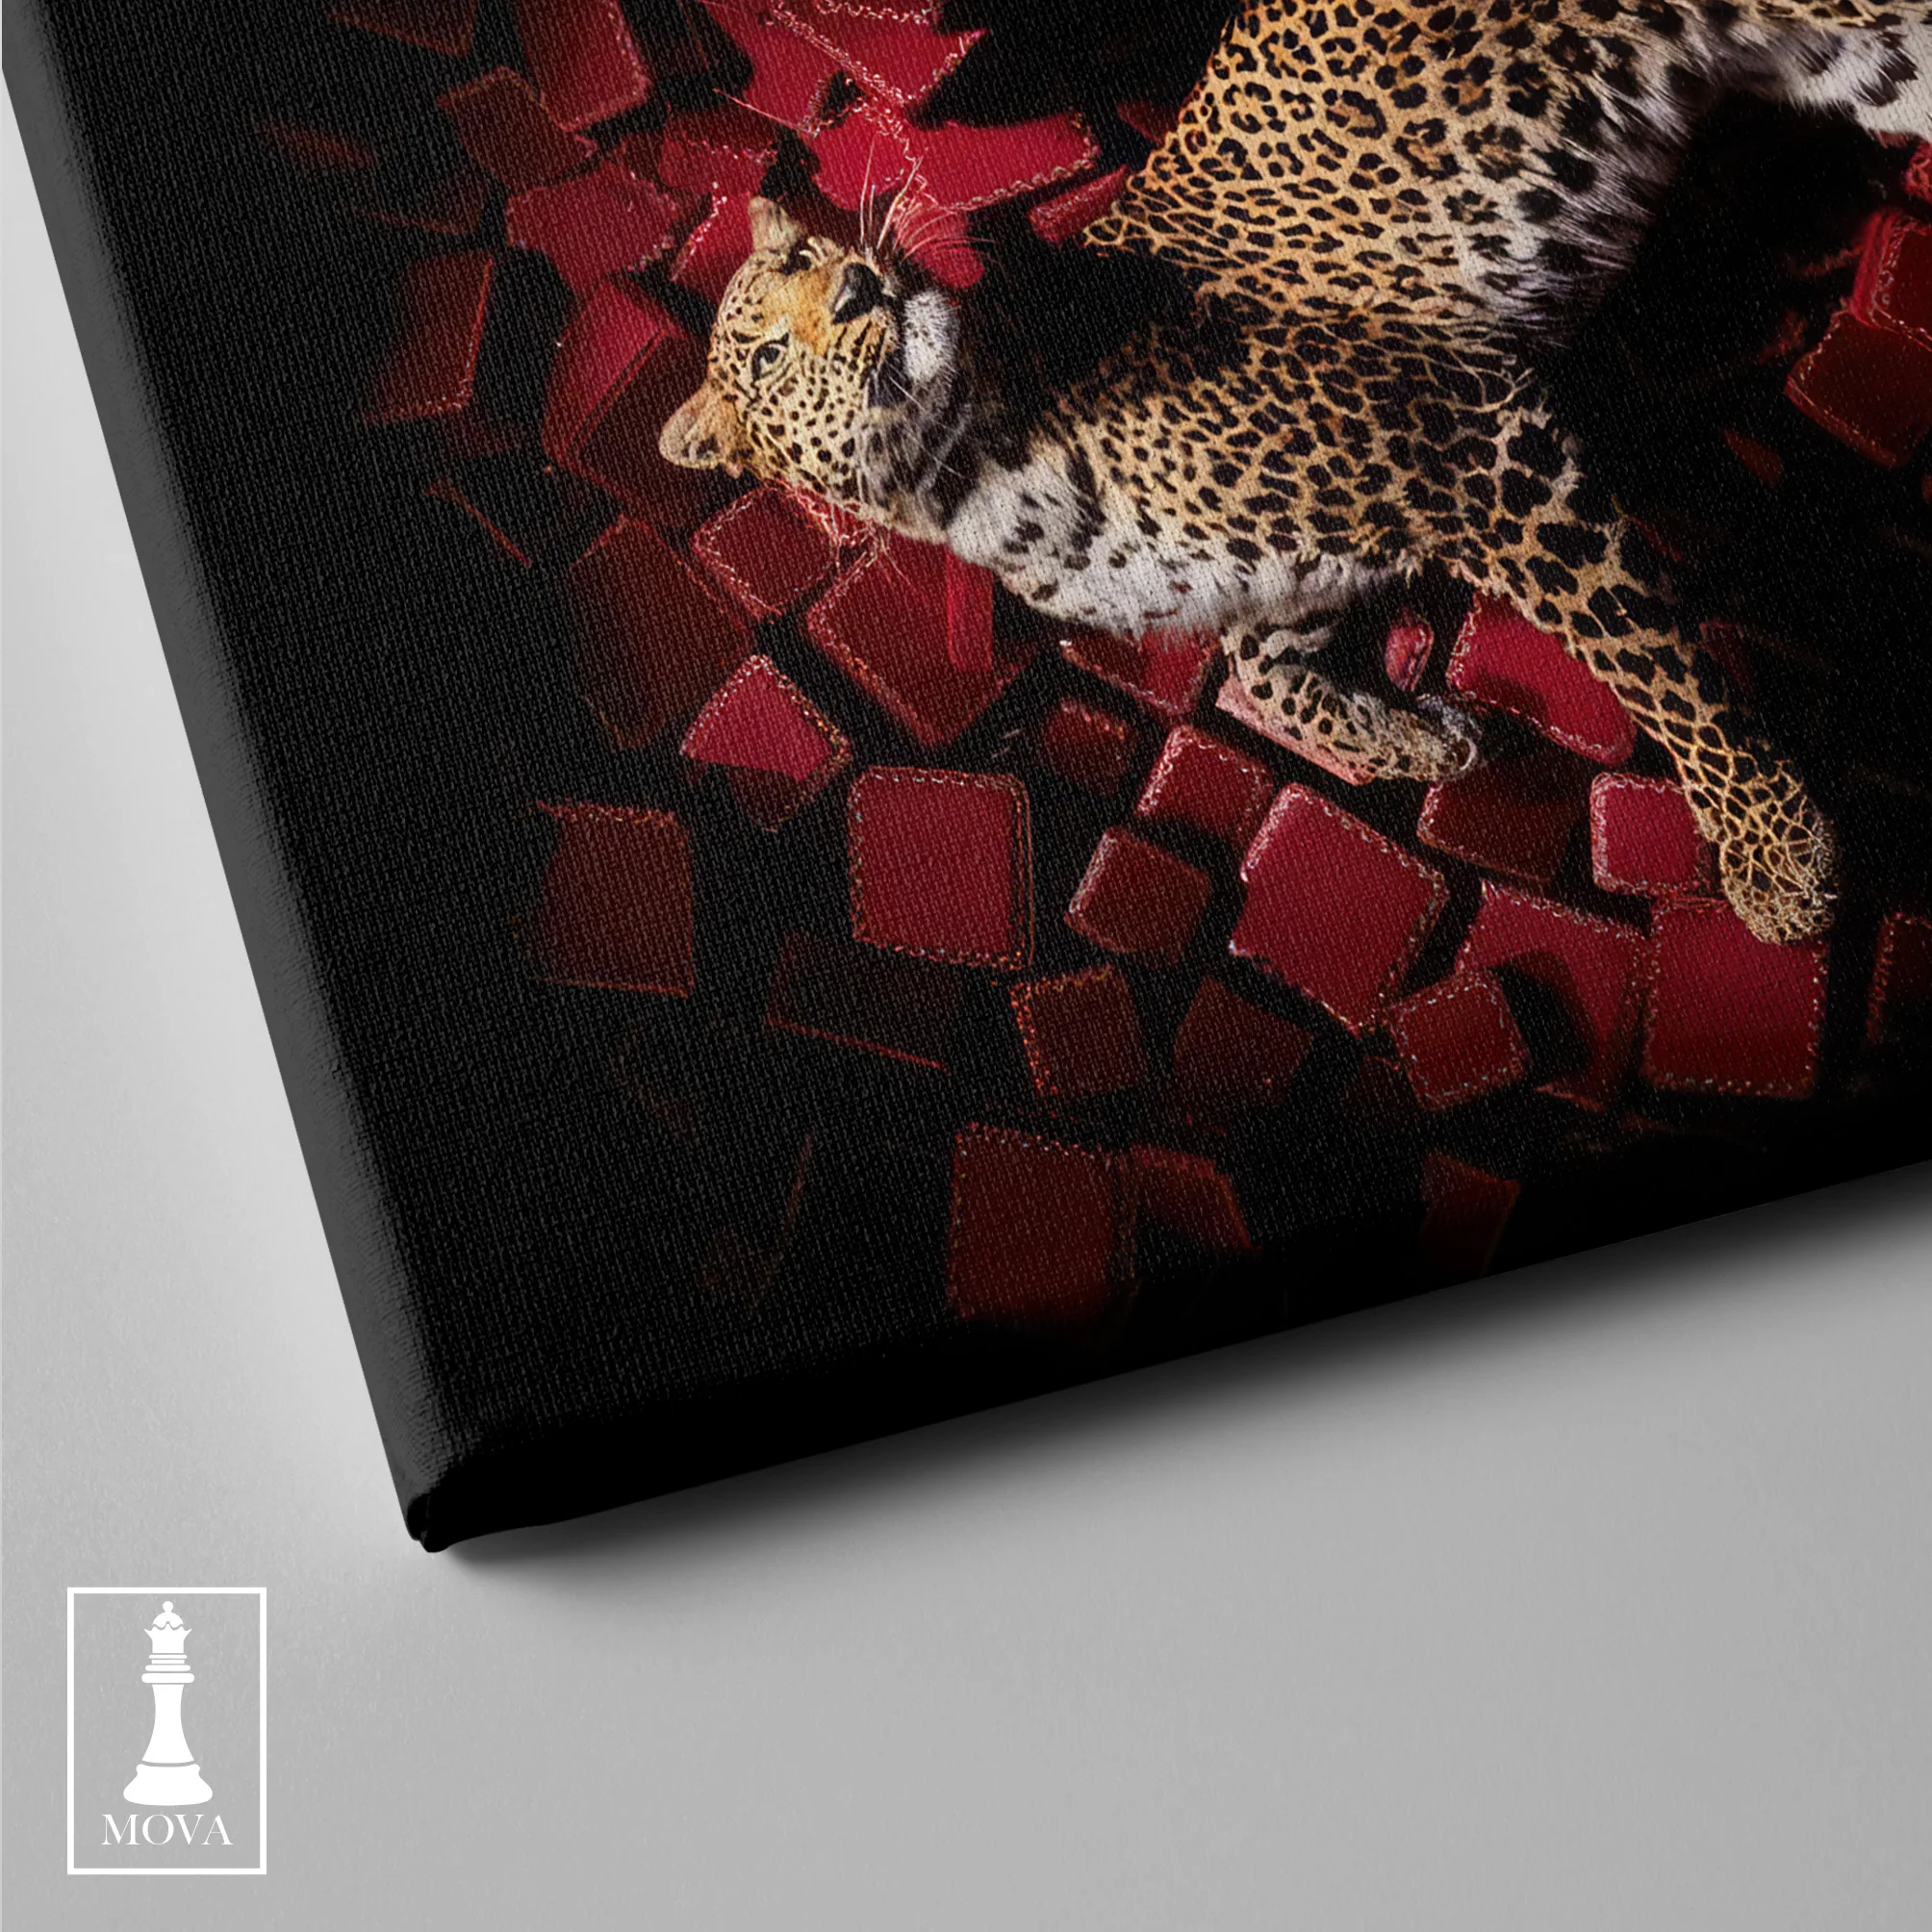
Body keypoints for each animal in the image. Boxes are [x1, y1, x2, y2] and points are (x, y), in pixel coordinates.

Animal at [663, 0, 1932, 944]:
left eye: (823, 253)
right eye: (769, 350)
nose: (863, 287)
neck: (970, 480)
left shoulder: (1468, 444)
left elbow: (1645, 658)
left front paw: (1775, 853)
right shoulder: (1294, 568)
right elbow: (1262, 676)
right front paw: (1423, 738)